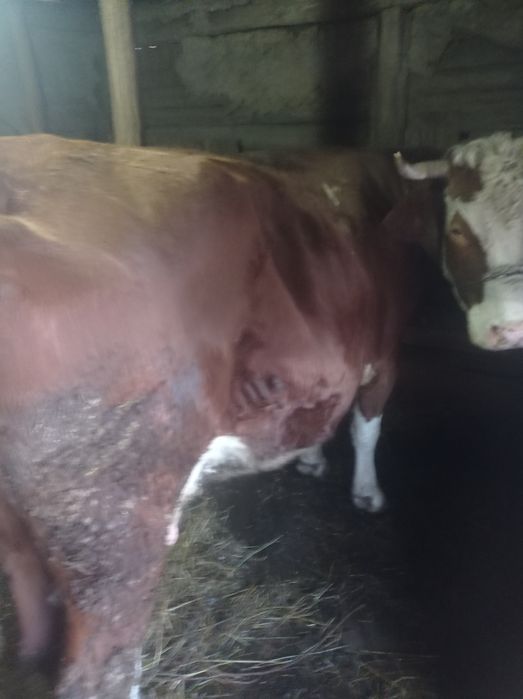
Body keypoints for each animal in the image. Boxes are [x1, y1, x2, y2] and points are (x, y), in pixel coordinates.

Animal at [0, 134, 430, 698]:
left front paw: (312, 461)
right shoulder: (385, 354)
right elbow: (366, 428)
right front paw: (367, 493)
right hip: (110, 525)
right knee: (102, 669)